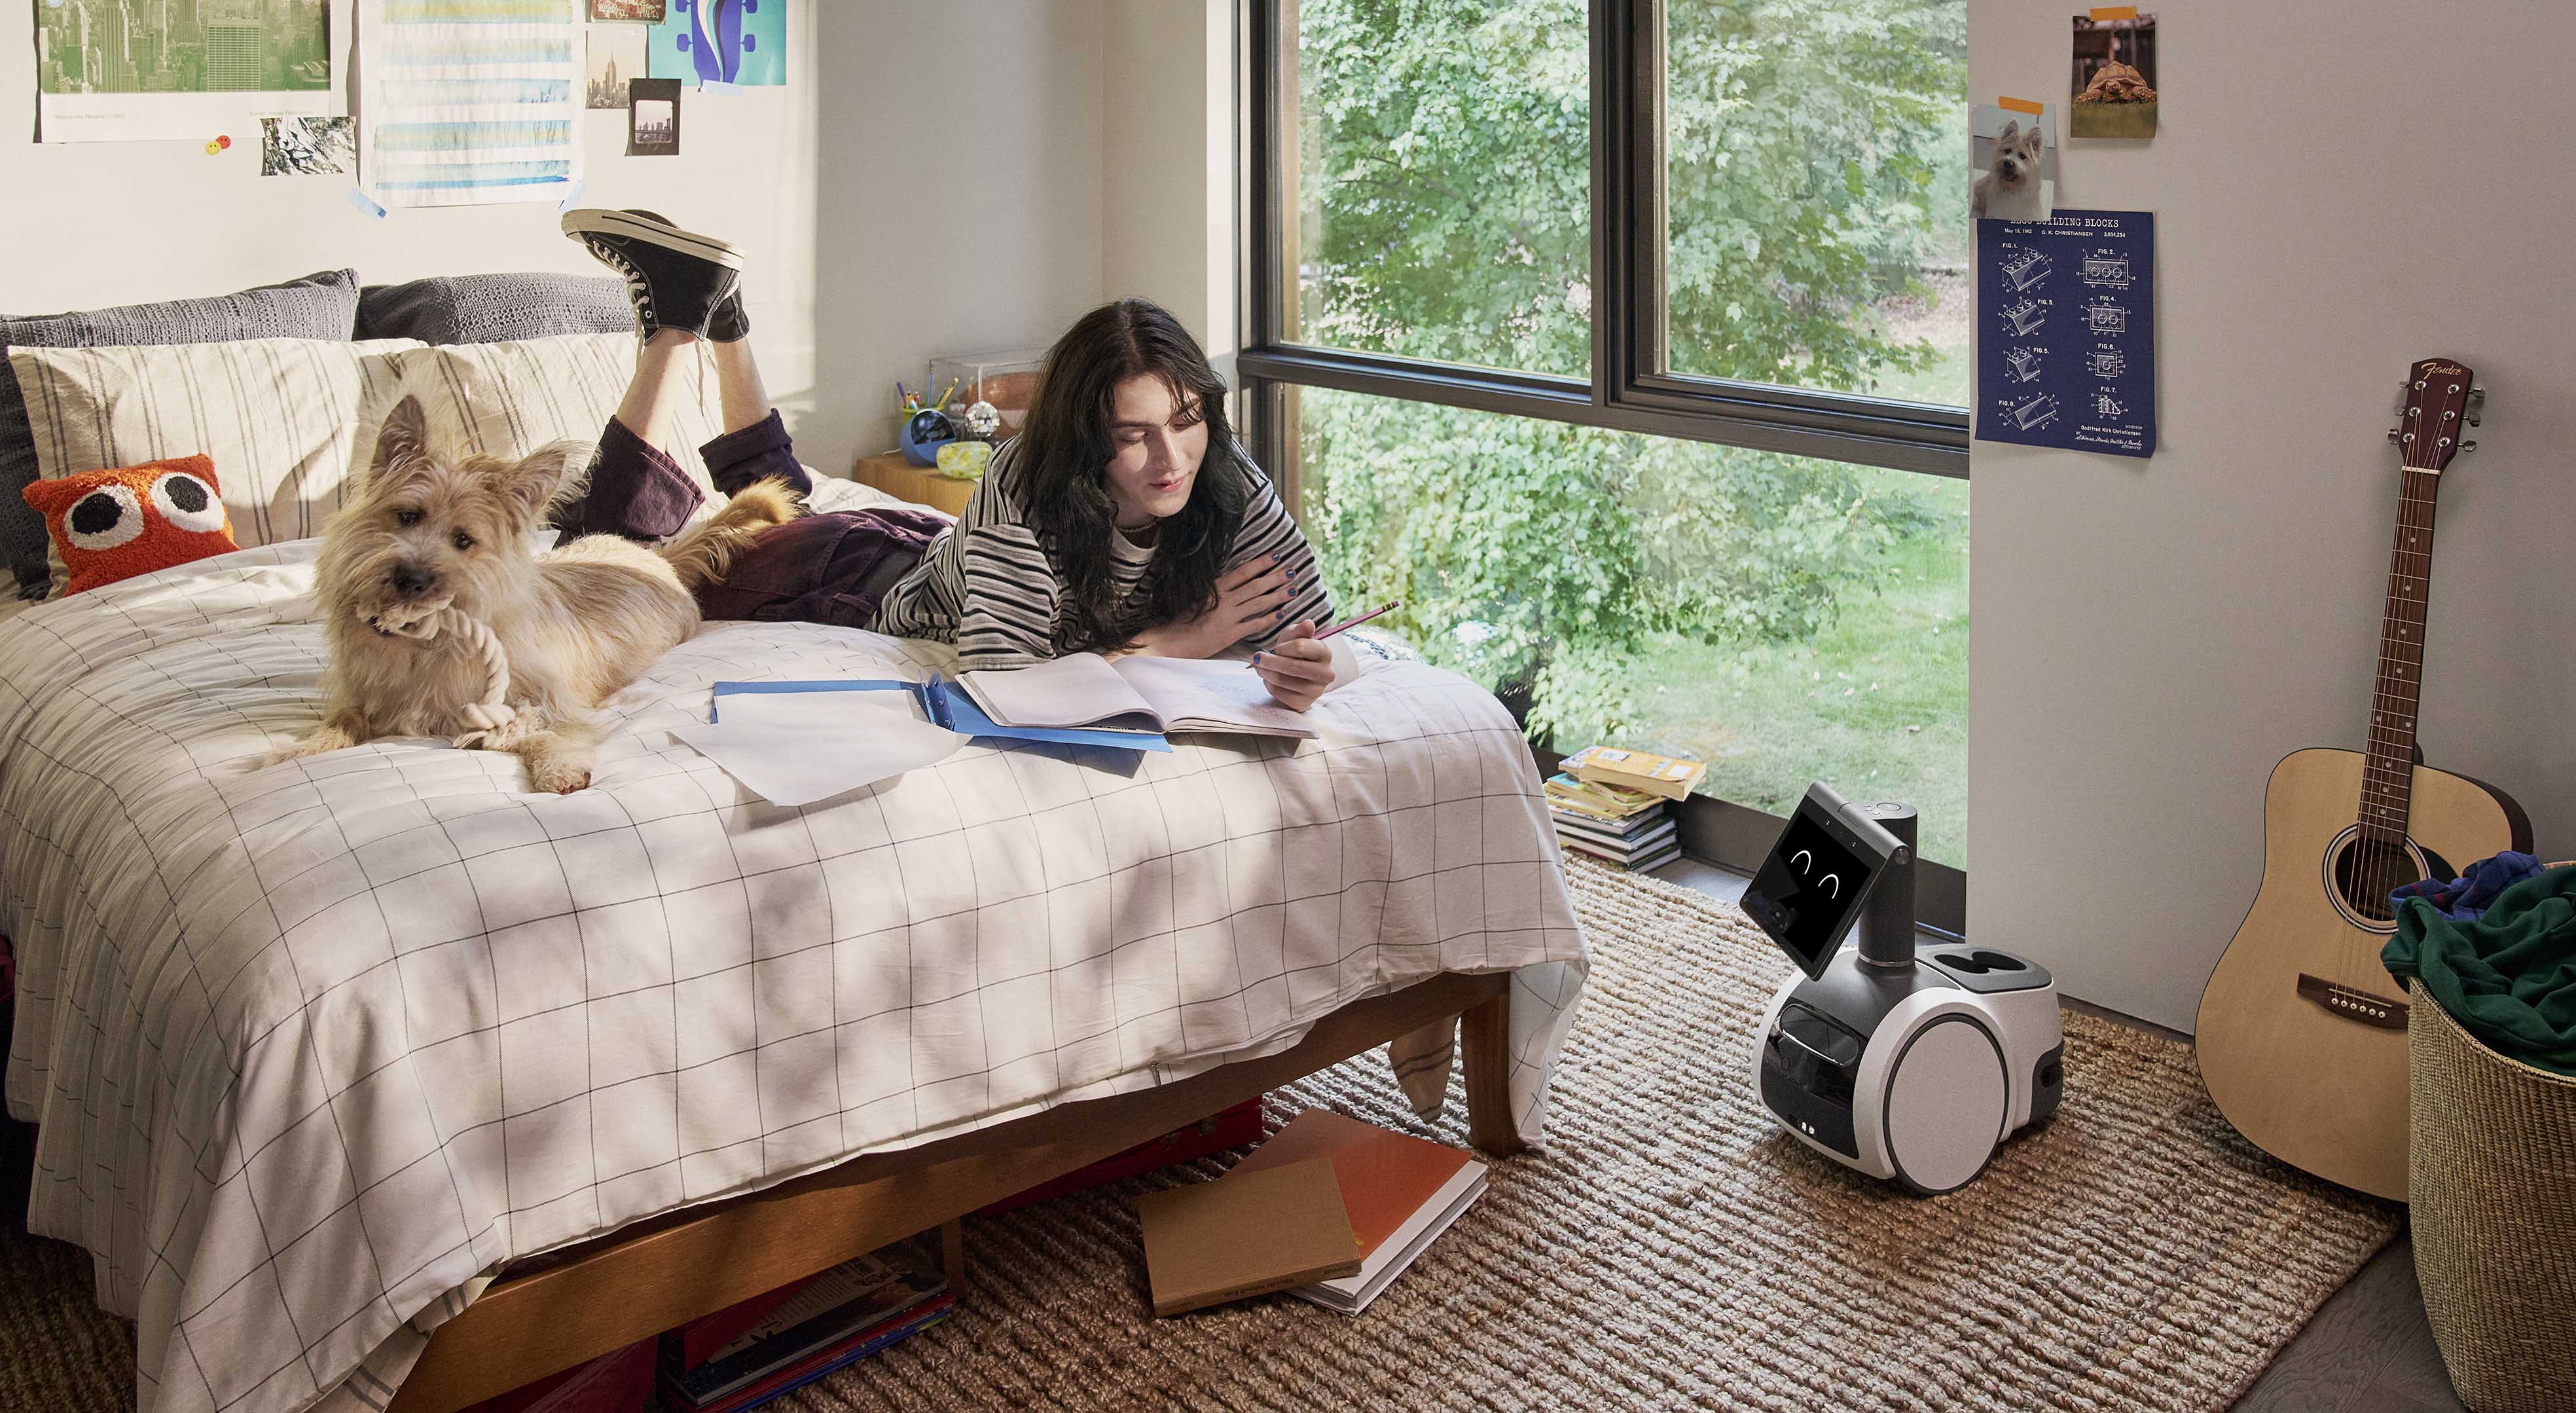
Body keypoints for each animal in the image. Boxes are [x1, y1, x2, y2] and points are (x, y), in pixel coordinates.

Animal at [272, 394, 796, 793]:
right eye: (407, 516)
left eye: (464, 541)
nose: (412, 580)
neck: (425, 646)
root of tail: (660, 560)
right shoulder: (361, 698)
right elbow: (341, 721)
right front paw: (302, 749)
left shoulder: (550, 700)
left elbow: (542, 731)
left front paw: (556, 767)